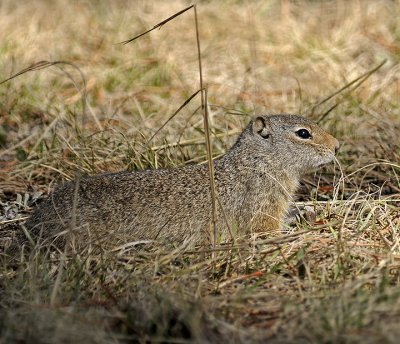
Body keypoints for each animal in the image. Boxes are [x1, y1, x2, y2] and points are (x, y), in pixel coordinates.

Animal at [25, 115, 338, 247]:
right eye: (303, 133)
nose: (337, 146)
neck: (259, 162)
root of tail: (34, 223)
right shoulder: (263, 211)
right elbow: (267, 230)